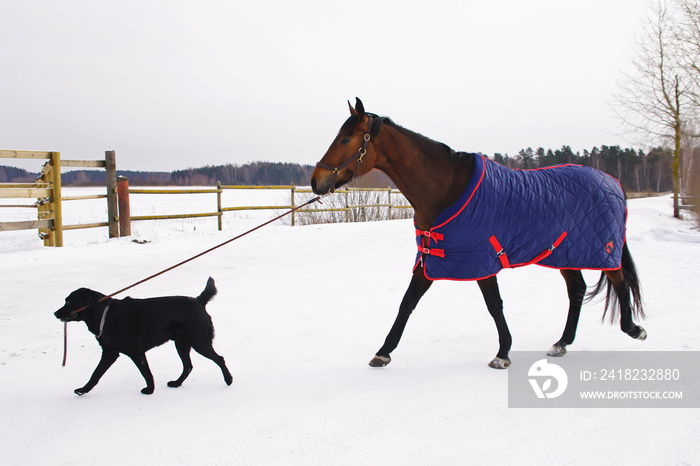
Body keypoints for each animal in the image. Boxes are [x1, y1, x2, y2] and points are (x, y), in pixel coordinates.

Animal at [54, 278, 234, 396]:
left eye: (68, 302)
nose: (55, 313)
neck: (103, 313)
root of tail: (198, 301)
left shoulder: (136, 352)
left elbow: (146, 372)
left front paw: (149, 390)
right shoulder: (110, 353)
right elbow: (96, 374)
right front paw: (83, 390)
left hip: (199, 342)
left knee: (219, 358)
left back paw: (229, 380)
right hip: (182, 344)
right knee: (188, 366)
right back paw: (176, 383)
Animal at [312, 97, 644, 368]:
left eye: (345, 139)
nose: (316, 181)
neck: (446, 188)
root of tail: (612, 182)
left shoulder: (480, 258)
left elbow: (494, 305)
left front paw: (503, 353)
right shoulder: (433, 258)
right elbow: (408, 302)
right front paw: (383, 352)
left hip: (600, 249)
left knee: (619, 280)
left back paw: (633, 329)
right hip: (565, 252)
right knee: (576, 290)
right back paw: (562, 343)